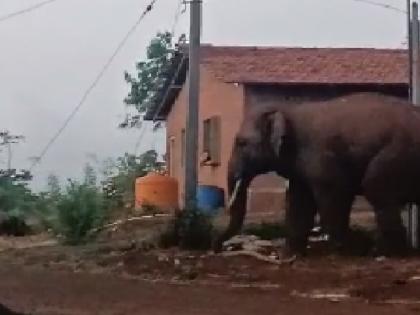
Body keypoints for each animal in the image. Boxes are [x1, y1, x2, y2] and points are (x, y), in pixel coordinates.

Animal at [215, 92, 420, 256]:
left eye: (241, 143)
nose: (216, 248)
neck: (290, 109)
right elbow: (299, 202)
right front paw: (290, 254)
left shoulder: (320, 157)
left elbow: (335, 196)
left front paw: (351, 250)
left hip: (400, 154)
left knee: (374, 187)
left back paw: (390, 252)